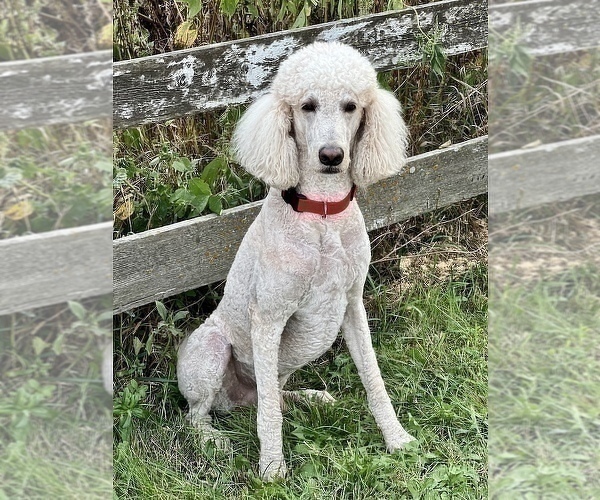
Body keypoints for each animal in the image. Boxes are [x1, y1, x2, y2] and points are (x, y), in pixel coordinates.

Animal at [176, 43, 414, 480]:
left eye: (351, 106)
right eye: (307, 106)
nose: (332, 156)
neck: (323, 213)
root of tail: (233, 401)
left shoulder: (352, 305)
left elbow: (374, 380)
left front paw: (397, 439)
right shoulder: (268, 318)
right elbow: (269, 416)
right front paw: (272, 469)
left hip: (280, 366)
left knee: (270, 394)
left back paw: (309, 397)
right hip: (212, 350)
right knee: (203, 413)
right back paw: (213, 440)